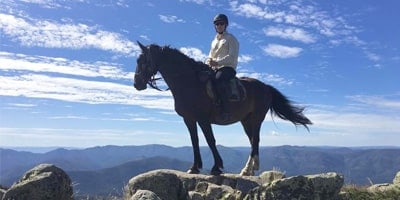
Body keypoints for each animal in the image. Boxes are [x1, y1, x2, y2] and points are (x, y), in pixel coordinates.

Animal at [133, 41, 310, 175]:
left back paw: (247, 170)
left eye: (144, 62)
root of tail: (266, 87)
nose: (137, 84)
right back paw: (250, 169)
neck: (189, 83)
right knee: (253, 140)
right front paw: (194, 167)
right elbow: (195, 141)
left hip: (256, 118)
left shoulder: (203, 119)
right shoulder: (189, 119)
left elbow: (210, 140)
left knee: (255, 140)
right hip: (246, 121)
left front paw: (216, 167)